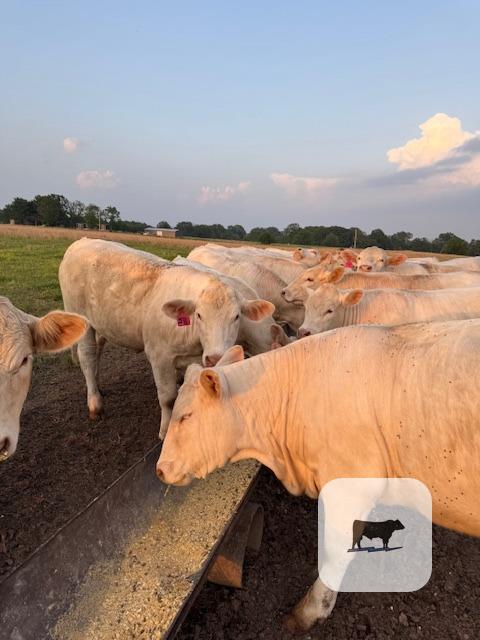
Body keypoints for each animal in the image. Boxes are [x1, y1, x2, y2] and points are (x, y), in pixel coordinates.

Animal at [59, 239, 273, 438]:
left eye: (236, 316)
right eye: (199, 315)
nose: (215, 358)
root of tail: (82, 241)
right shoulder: (159, 356)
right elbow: (168, 398)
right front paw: (165, 430)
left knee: (97, 351)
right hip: (80, 317)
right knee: (87, 356)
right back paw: (95, 404)